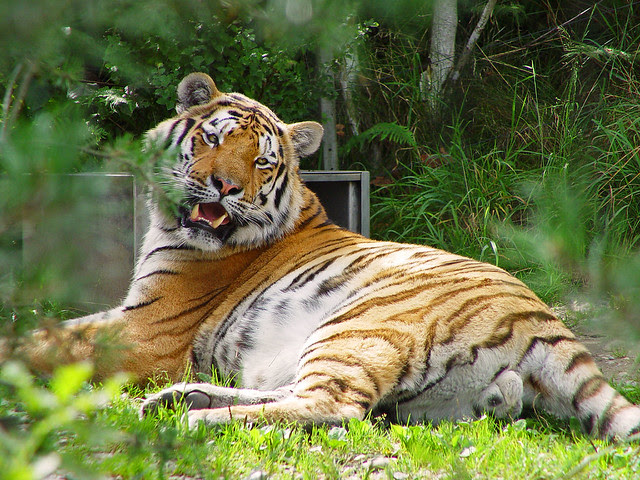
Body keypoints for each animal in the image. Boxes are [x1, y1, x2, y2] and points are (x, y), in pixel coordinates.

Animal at [17, 72, 640, 440]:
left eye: (262, 160)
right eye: (214, 139)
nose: (226, 187)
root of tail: (543, 319)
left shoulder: (146, 328)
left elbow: (42, 338)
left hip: (358, 326)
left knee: (332, 406)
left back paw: (192, 417)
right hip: (433, 394)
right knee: (316, 396)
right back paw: (177, 399)